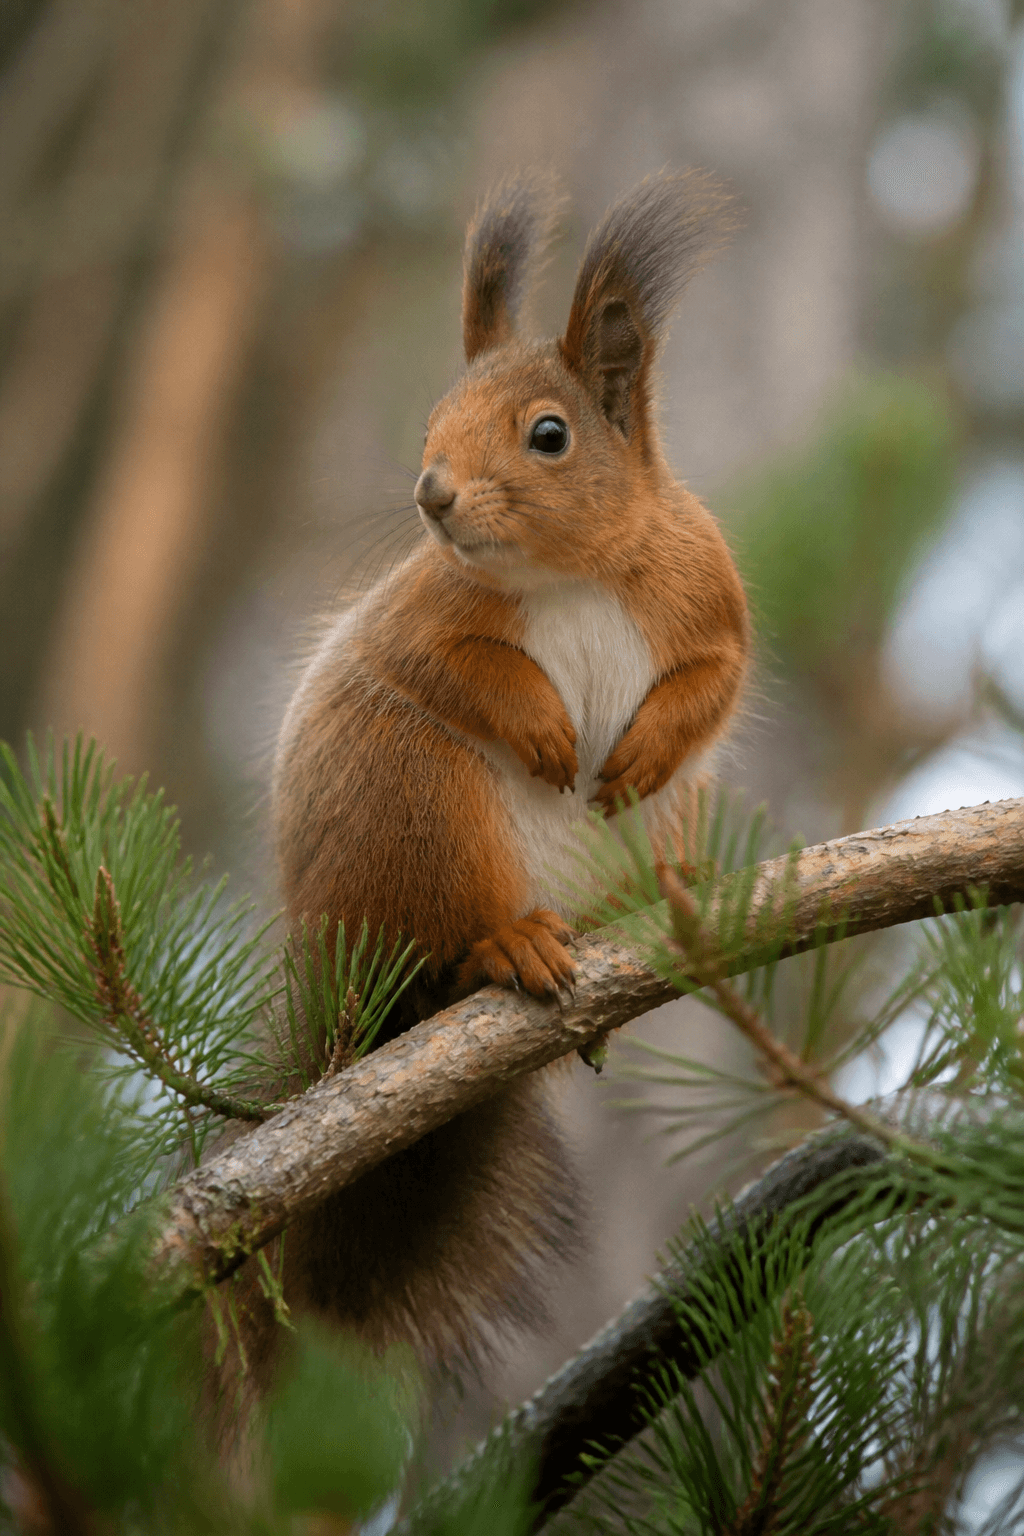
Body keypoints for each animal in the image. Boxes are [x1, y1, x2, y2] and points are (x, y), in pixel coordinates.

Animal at [265, 169, 750, 1374]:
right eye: (431, 423)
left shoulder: (709, 597)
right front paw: (541, 732)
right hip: (417, 804)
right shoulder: (421, 616)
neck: (567, 572)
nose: (432, 494)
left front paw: (638, 750)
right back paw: (506, 945)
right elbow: (453, 668)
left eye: (549, 434)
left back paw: (673, 906)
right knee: (445, 950)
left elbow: (714, 682)